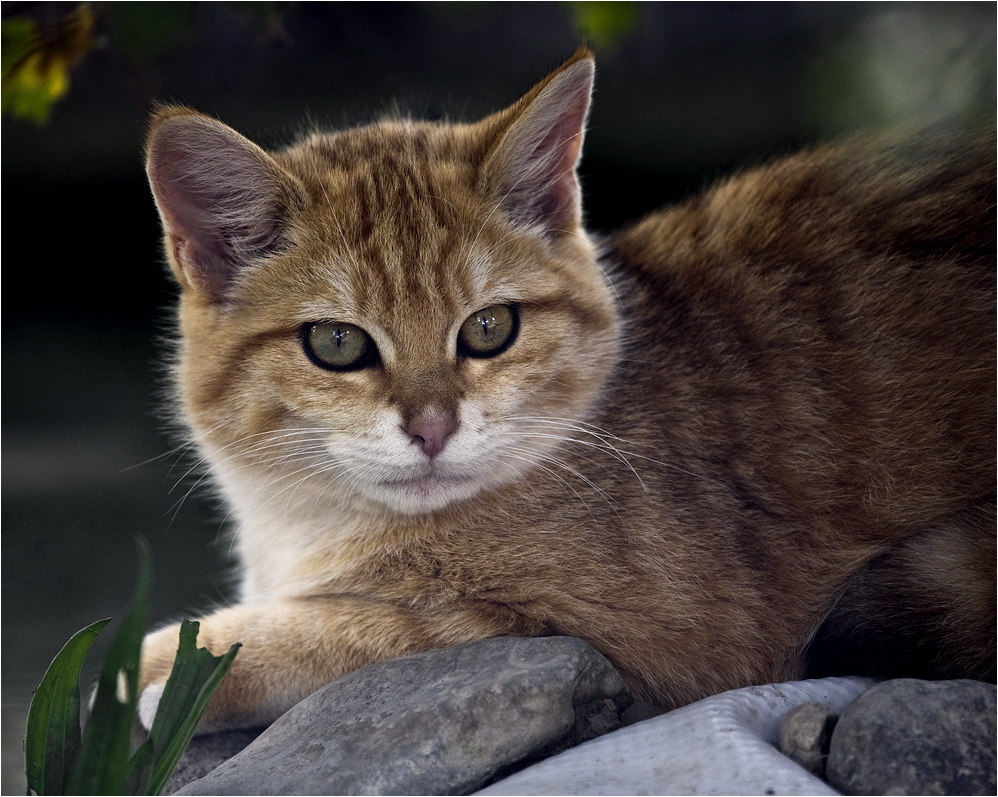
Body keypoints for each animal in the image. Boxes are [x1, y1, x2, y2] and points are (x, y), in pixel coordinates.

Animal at [137, 46, 996, 732]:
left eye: (489, 327)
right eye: (337, 343)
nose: (432, 427)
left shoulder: (647, 643)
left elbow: (368, 628)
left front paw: (177, 664)